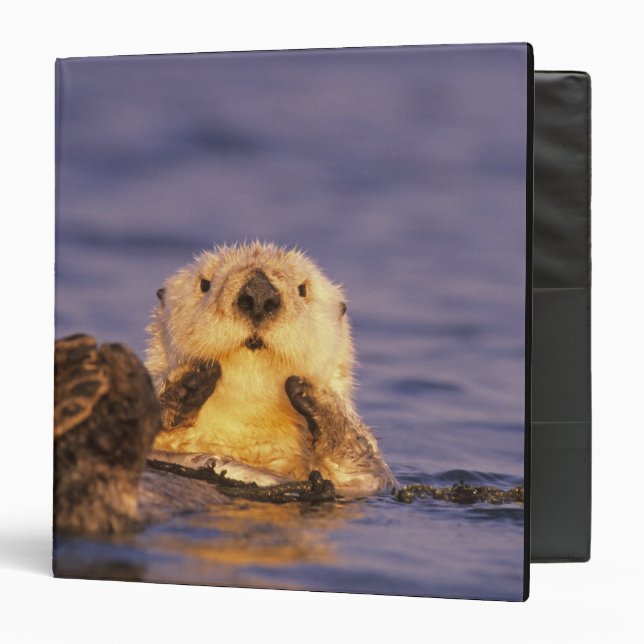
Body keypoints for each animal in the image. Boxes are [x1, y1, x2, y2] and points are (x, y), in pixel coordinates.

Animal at [145, 242, 395, 496]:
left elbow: (369, 471)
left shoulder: (362, 484)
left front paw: (312, 394)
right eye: (204, 284)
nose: (258, 293)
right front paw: (188, 381)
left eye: (302, 289)